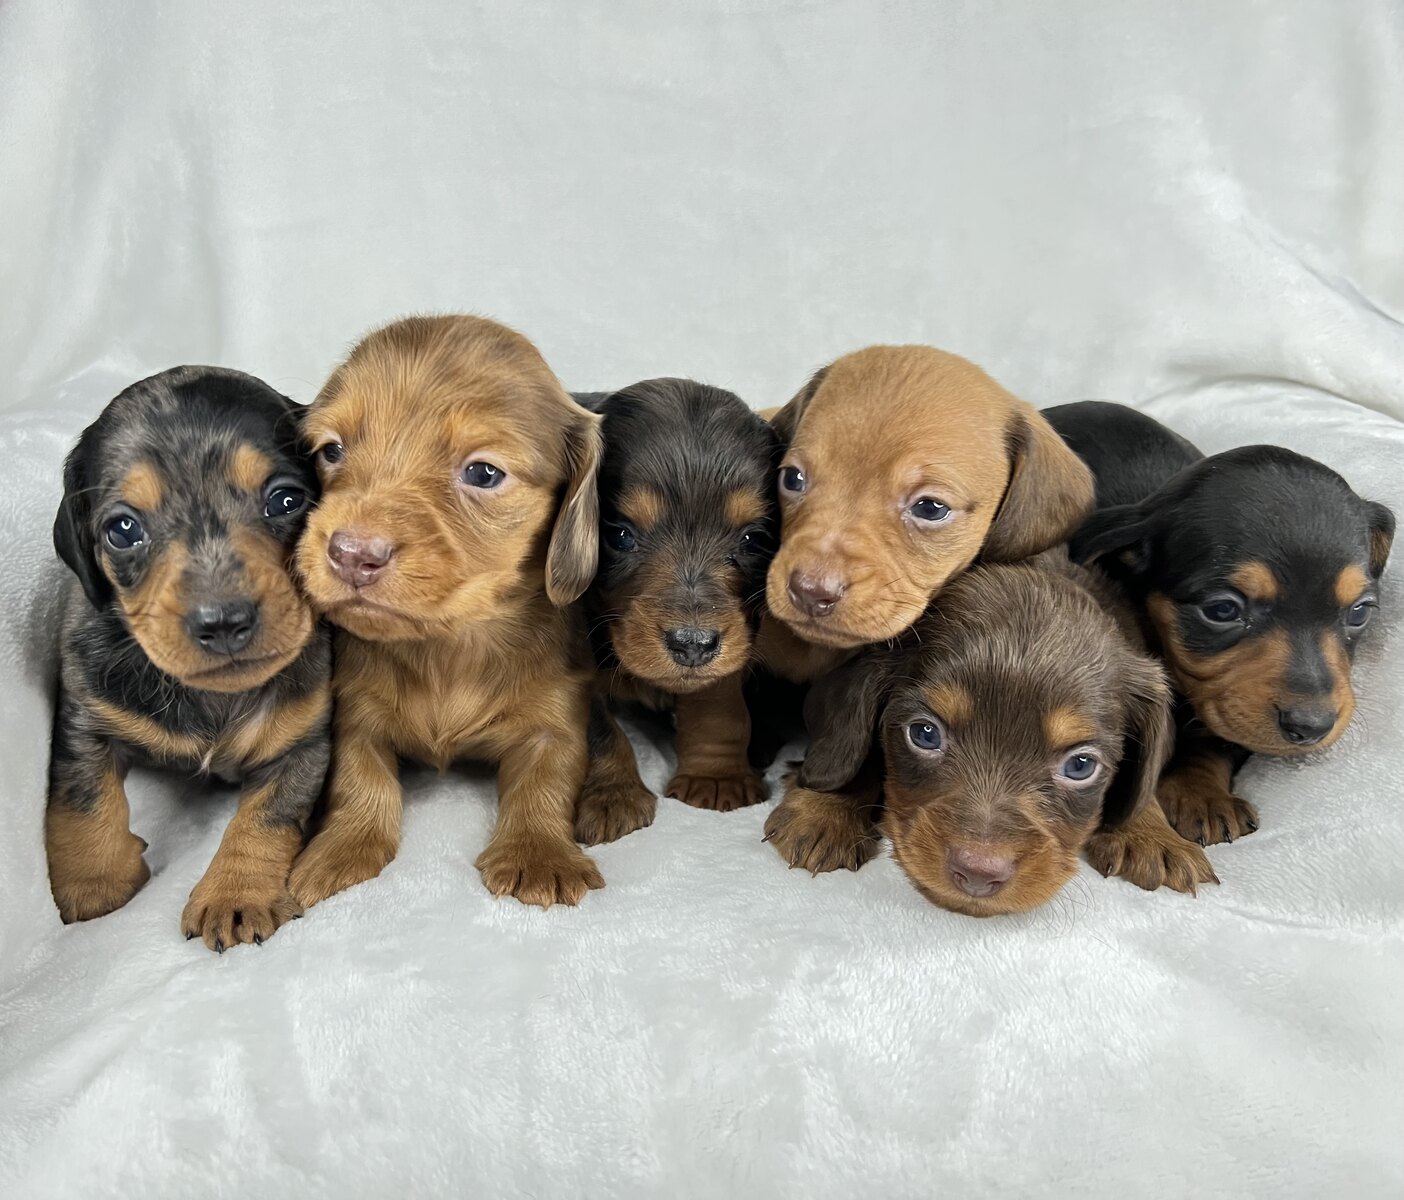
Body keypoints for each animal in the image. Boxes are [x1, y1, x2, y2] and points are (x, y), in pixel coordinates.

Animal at [46, 367, 330, 950]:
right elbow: (83, 796)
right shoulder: (86, 713)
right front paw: (94, 885)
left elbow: (267, 816)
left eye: (285, 501)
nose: (222, 622)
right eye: (123, 529)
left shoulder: (303, 742)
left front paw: (235, 894)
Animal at [287, 315, 606, 910]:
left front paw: (538, 853)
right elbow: (359, 776)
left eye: (483, 473)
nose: (351, 553)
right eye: (332, 450)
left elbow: (547, 777)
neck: (448, 645)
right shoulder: (355, 710)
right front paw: (341, 849)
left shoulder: (556, 716)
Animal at [569, 378, 781, 843]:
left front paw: (716, 777)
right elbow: (600, 729)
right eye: (620, 535)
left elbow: (718, 706)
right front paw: (613, 795)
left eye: (753, 539)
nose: (692, 644)